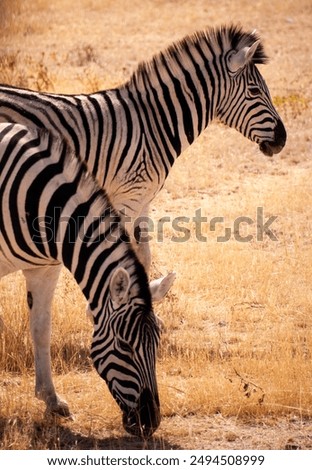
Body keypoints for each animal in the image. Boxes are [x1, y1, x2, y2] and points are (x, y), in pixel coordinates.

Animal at [0, 24, 286, 276]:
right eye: (254, 91)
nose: (282, 139)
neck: (155, 123)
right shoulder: (126, 198)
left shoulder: (143, 199)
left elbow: (145, 257)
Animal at [0, 121, 173, 436]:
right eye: (124, 346)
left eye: (157, 343)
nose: (150, 423)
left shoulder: (46, 268)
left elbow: (41, 329)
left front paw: (51, 399)